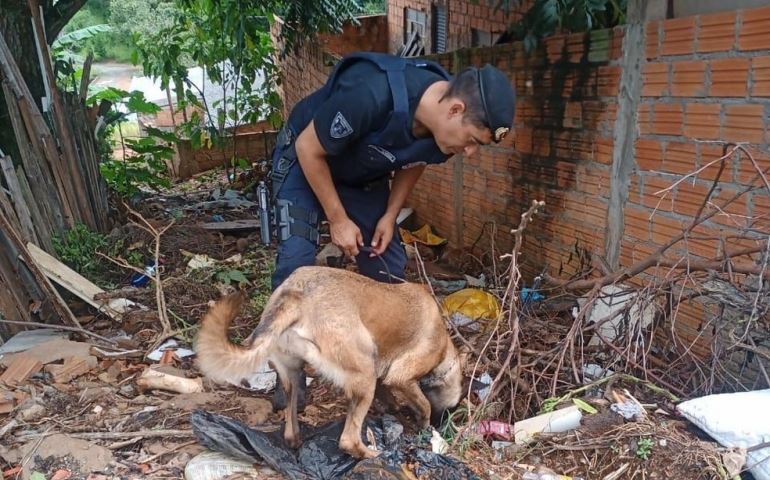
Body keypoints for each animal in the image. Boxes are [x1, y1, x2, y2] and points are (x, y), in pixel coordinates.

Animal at [196, 266, 462, 458]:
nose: (443, 423)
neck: (445, 347)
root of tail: (296, 296)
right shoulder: (400, 377)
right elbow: (424, 404)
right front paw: (424, 425)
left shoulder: (382, 375)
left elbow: (389, 394)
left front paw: (394, 409)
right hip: (363, 372)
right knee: (348, 440)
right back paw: (372, 454)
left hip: (293, 374)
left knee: (291, 423)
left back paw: (296, 440)